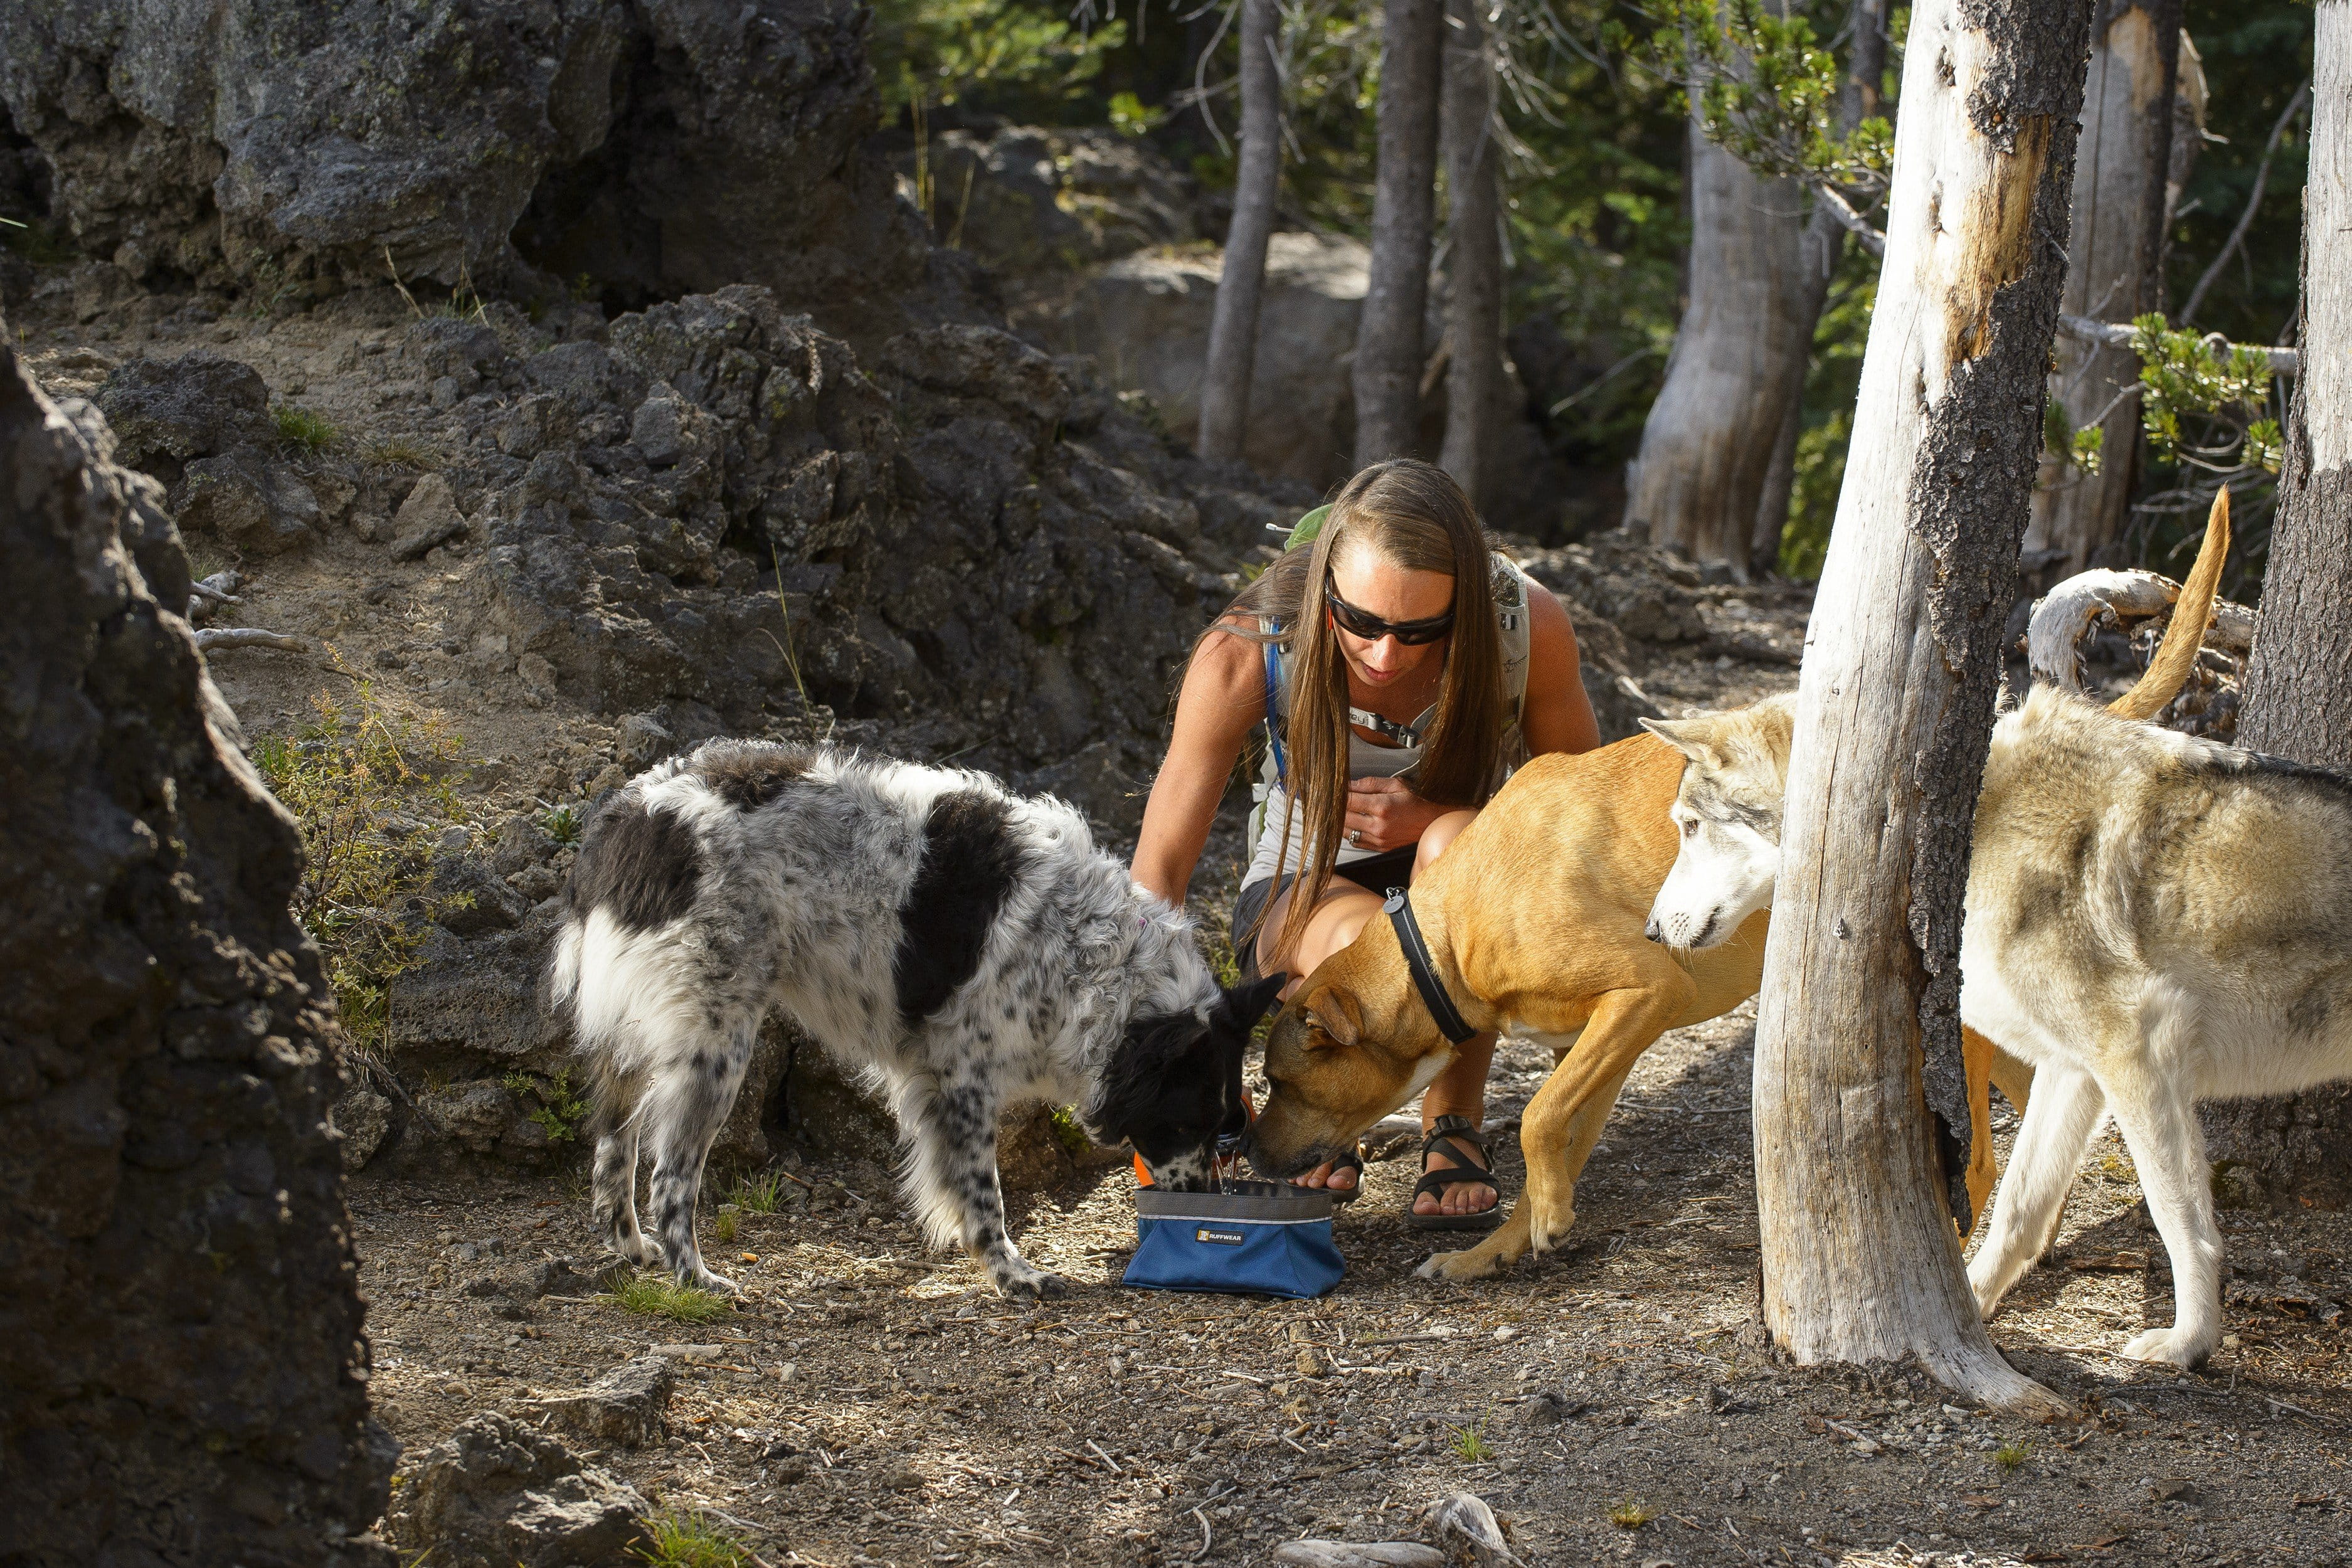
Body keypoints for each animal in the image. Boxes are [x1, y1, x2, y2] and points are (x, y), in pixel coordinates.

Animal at [546, 743, 1289, 1306]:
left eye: (1229, 1127)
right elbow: (984, 1196)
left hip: (639, 1043)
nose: (1205, 1202)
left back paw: (632, 1248)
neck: (1095, 958)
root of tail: (632, 816)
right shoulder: (964, 1077)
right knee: (671, 1176)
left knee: (612, 1147)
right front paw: (1012, 1273)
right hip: (716, 1045)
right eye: (1192, 1121)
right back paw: (696, 1279)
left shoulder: (933, 1081)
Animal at [1646, 495, 2352, 1363]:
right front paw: (1971, 1316)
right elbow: (2018, 1207)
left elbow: (2183, 1222)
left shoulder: (2137, 1057)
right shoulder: (2075, 1071)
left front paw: (2188, 1345)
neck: (1968, 831)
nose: (1651, 931)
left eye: (1687, 827)